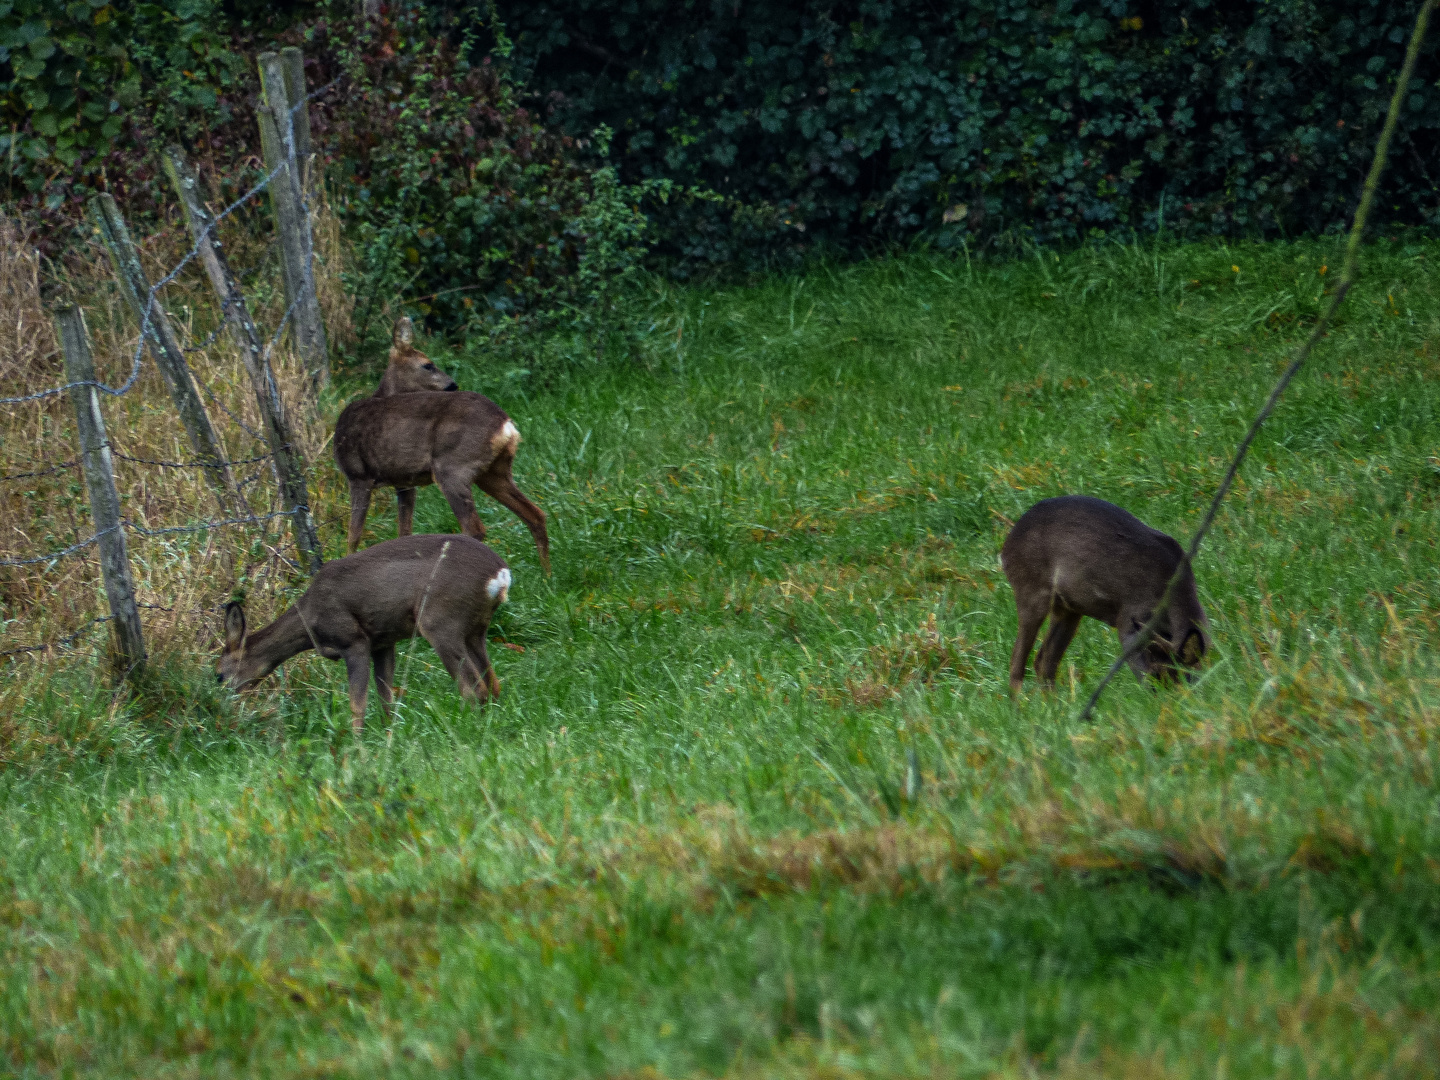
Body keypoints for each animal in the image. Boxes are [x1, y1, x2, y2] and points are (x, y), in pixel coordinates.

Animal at [210, 535, 509, 737]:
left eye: (219, 675)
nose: (221, 705)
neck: (310, 618)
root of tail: (500, 574)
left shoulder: (353, 640)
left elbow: (358, 704)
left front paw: (356, 744)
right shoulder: (383, 642)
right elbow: (387, 698)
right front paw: (389, 733)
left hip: (439, 621)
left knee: (474, 688)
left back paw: (467, 729)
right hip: (474, 630)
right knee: (493, 684)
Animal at [332, 319, 550, 576]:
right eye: (428, 365)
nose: (452, 385)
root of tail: (506, 425)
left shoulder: (357, 475)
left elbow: (353, 535)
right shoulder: (404, 482)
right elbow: (403, 532)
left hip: (452, 467)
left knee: (475, 528)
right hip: (494, 471)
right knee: (535, 514)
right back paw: (546, 576)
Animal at [1002, 498, 1215, 694]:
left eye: (1186, 676)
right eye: (1157, 673)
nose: (1168, 696)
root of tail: (1005, 549)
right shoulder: (1130, 618)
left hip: (1068, 608)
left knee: (1044, 662)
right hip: (1031, 589)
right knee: (1017, 661)